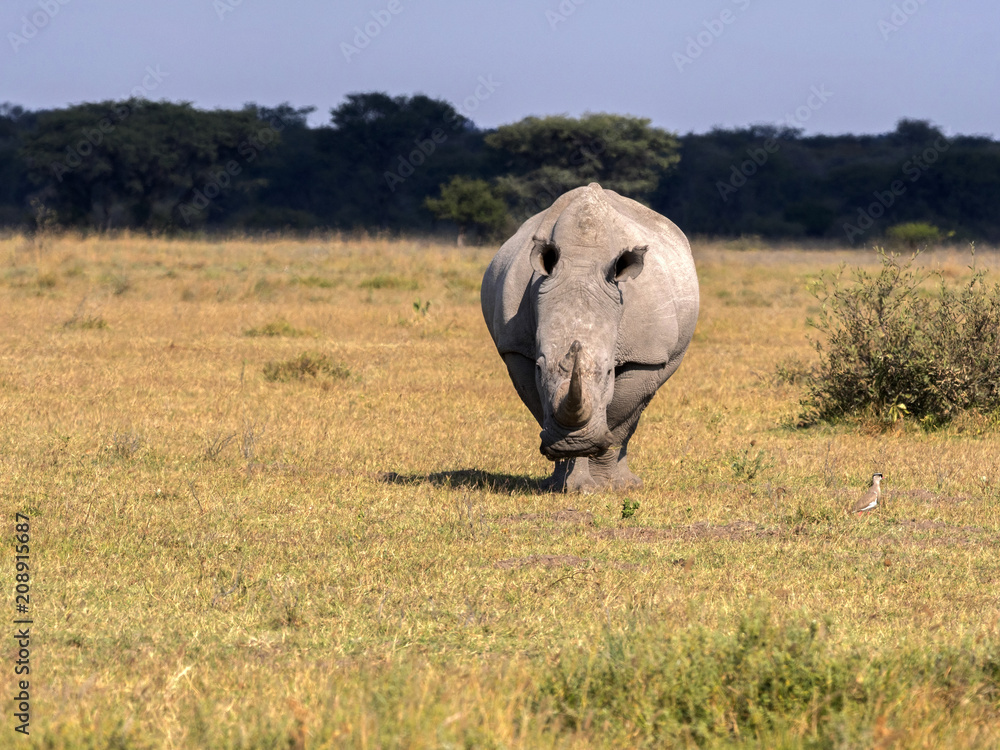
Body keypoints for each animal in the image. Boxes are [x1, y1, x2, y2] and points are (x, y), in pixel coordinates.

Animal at [481, 183, 699, 492]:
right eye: (539, 367)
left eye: (609, 372)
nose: (574, 442)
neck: (582, 263)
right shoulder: (516, 348)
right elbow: (543, 404)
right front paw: (570, 483)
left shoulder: (645, 355)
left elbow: (619, 417)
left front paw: (613, 486)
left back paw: (628, 483)